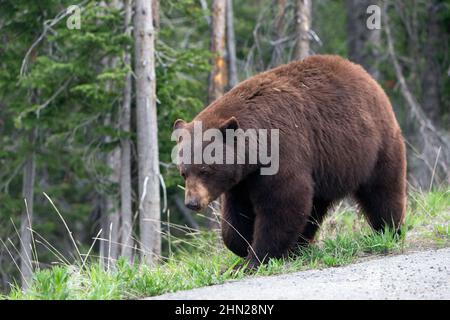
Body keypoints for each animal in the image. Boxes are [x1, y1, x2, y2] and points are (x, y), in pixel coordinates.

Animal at [173, 55, 408, 268]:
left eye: (205, 170)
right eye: (184, 172)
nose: (192, 202)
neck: (256, 149)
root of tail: (366, 76)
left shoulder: (282, 153)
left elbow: (283, 203)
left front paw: (254, 258)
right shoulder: (242, 177)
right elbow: (237, 212)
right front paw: (241, 245)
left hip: (374, 146)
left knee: (382, 190)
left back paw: (389, 230)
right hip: (326, 169)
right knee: (314, 207)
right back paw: (299, 246)